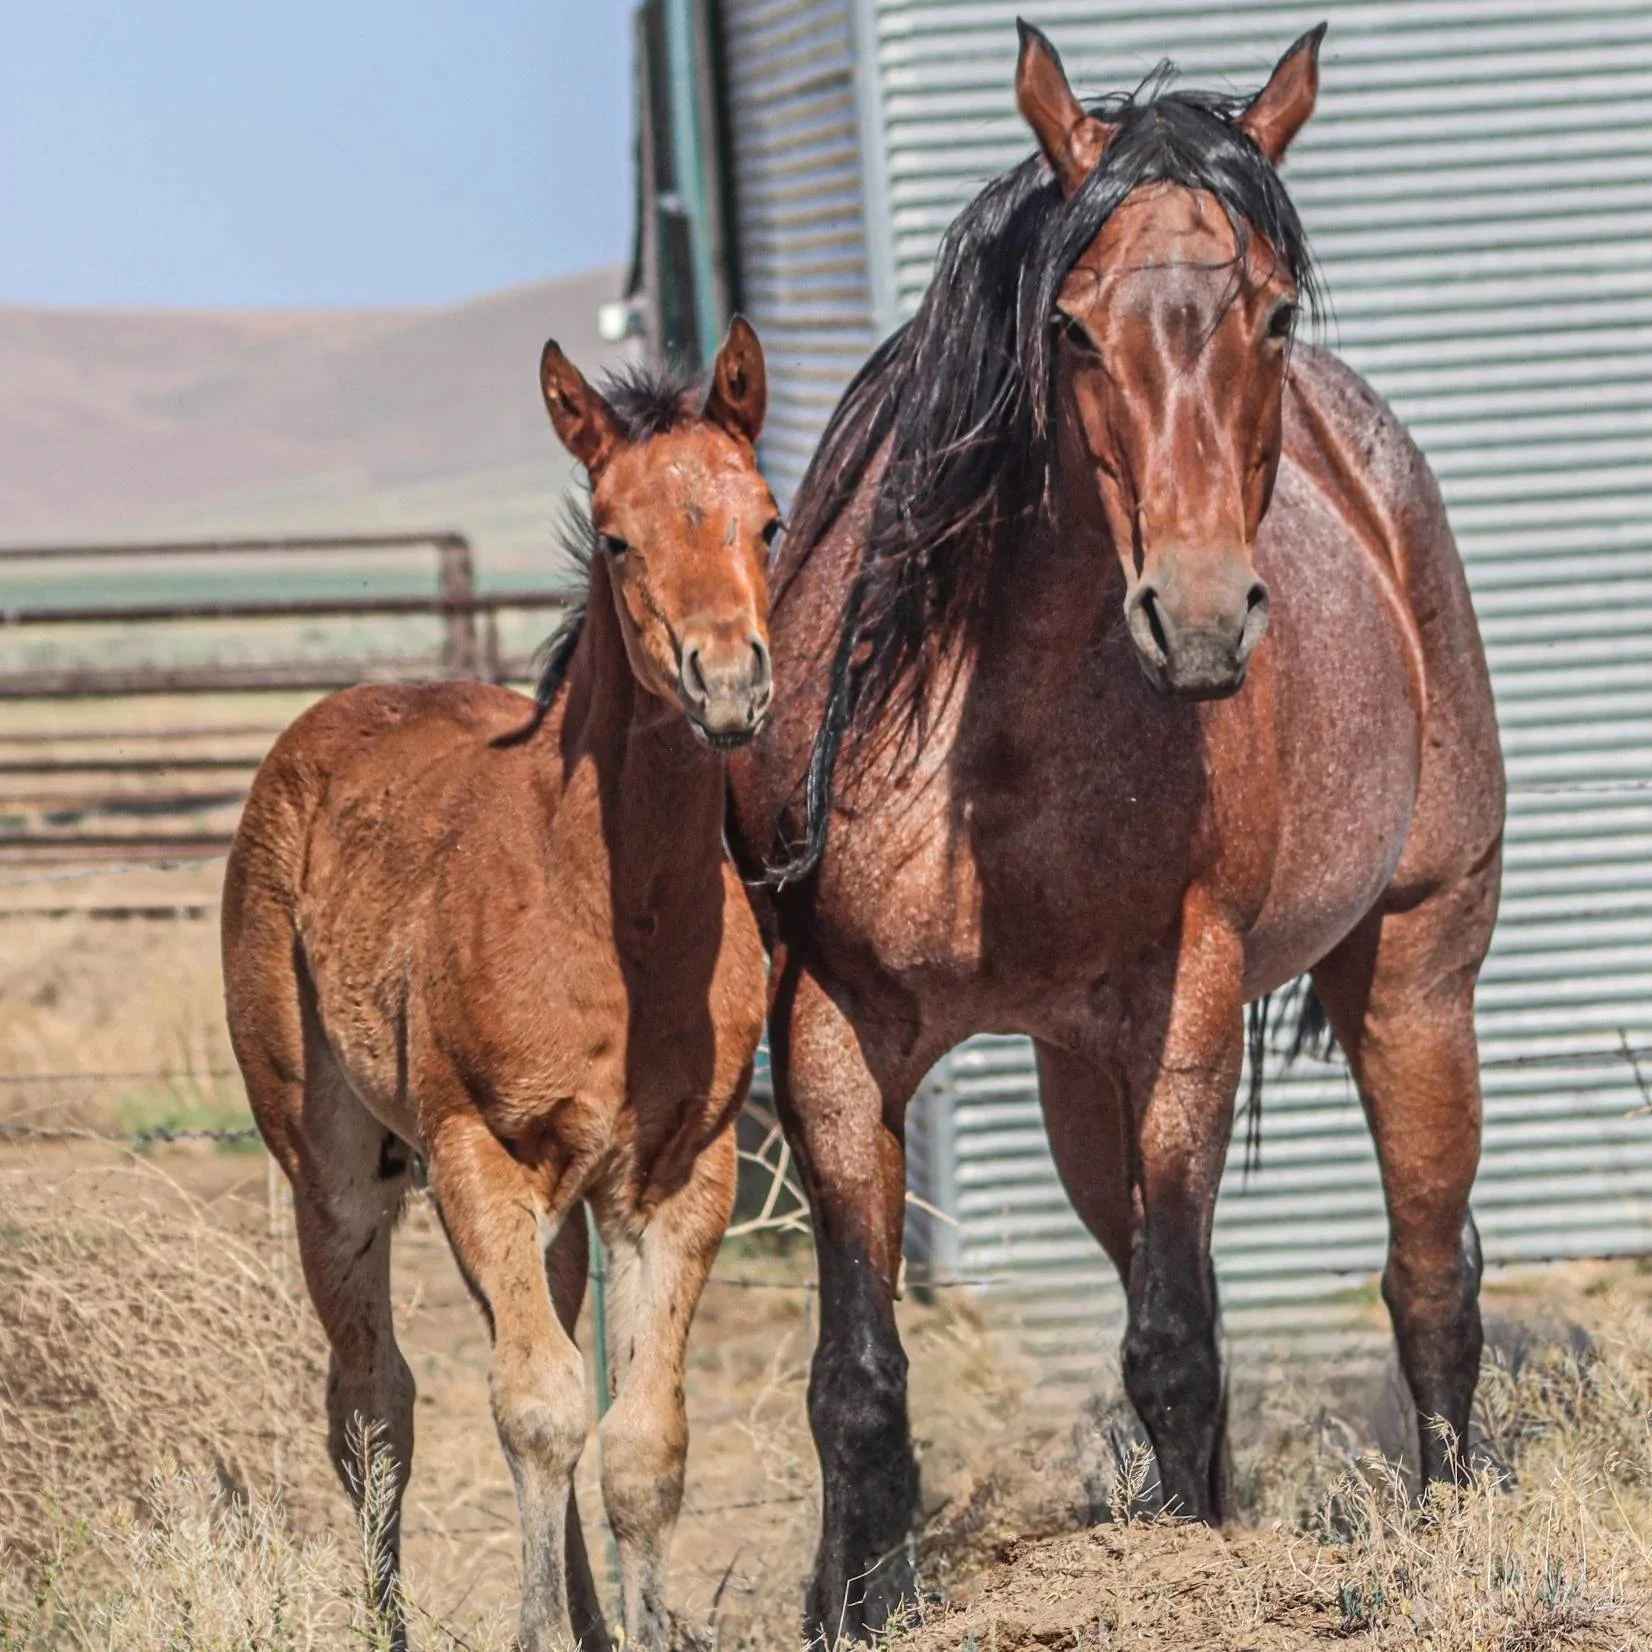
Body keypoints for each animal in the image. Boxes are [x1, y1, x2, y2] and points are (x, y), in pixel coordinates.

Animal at [223, 320, 778, 1652]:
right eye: (618, 535)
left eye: (769, 521)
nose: (728, 684)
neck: (614, 920)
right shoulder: (476, 1150)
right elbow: (534, 1407)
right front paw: (537, 1630)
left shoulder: (679, 1175)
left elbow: (638, 1438)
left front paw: (631, 1627)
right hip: (333, 1165)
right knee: (374, 1399)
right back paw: (388, 1621)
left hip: (558, 1209)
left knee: (552, 1347)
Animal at [728, 22, 1505, 1641]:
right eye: (1073, 330)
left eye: (1271, 314)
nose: (1202, 622)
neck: (992, 742)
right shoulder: (830, 1024)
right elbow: (857, 1381)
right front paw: (857, 1598)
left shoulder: (1185, 1007)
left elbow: (1174, 1347)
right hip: (1080, 1082)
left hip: (1414, 972)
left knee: (1426, 1274)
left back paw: (1459, 1532)